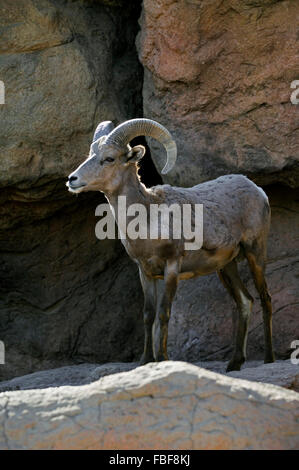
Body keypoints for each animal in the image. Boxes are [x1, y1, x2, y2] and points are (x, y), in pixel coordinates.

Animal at [67, 117, 276, 370]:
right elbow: (148, 315)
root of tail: (258, 190)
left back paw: (269, 359)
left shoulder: (172, 267)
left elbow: (164, 313)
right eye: (90, 154)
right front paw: (145, 361)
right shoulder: (145, 272)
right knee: (245, 301)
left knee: (265, 299)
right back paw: (234, 363)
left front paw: (163, 358)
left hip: (256, 253)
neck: (148, 218)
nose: (72, 179)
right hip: (227, 266)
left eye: (109, 158)